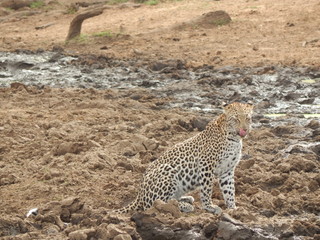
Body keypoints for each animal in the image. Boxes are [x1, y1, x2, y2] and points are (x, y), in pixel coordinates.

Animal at [114, 101, 254, 214]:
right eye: (235, 119)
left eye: (248, 118)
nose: (244, 130)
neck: (234, 139)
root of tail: (139, 195)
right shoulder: (206, 165)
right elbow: (206, 189)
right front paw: (209, 206)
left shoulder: (227, 170)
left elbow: (229, 190)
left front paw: (233, 208)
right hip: (167, 170)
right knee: (155, 203)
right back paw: (184, 205)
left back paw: (186, 199)